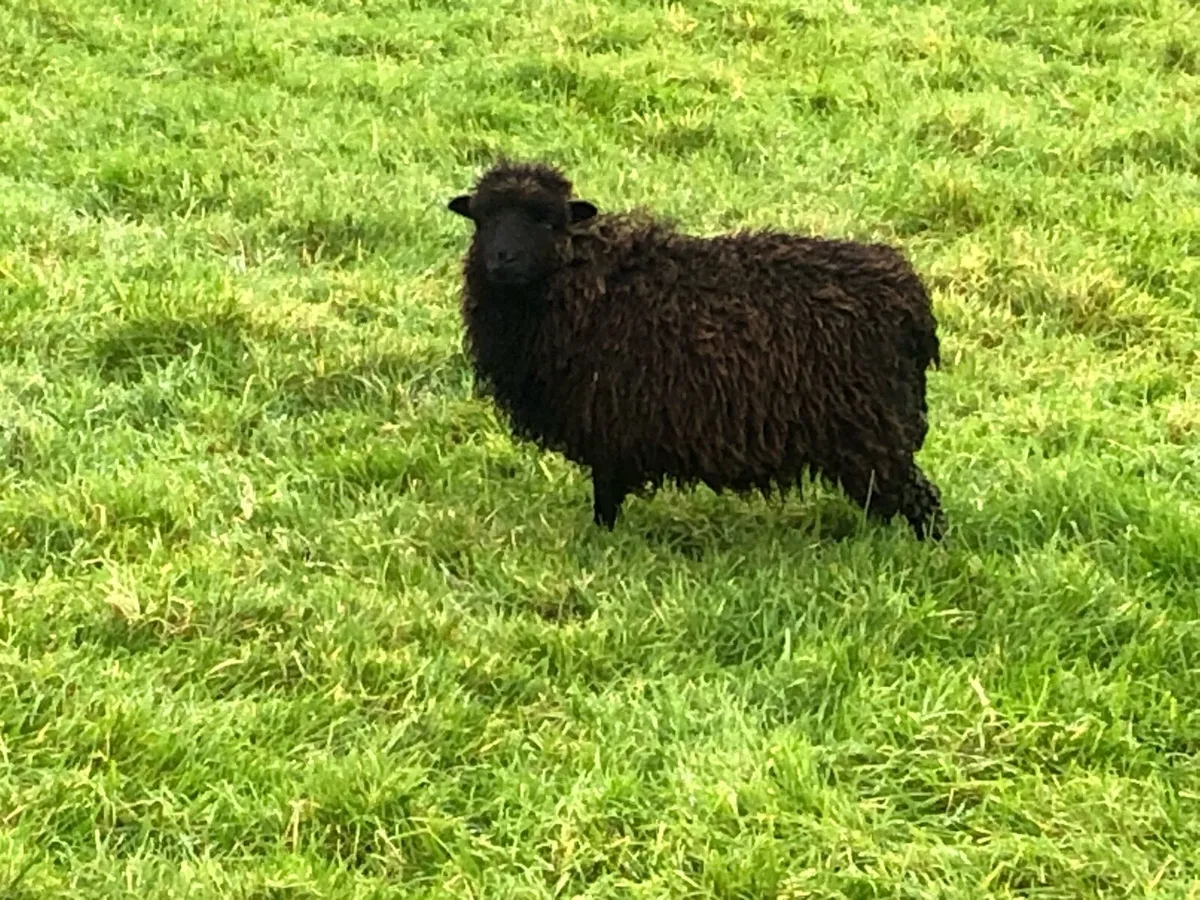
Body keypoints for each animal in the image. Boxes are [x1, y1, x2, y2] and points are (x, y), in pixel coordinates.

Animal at [445, 159, 946, 540]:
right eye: (483, 218)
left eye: (546, 220)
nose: (502, 260)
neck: (578, 282)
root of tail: (911, 301)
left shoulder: (609, 420)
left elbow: (605, 495)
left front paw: (601, 542)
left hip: (870, 424)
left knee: (920, 499)